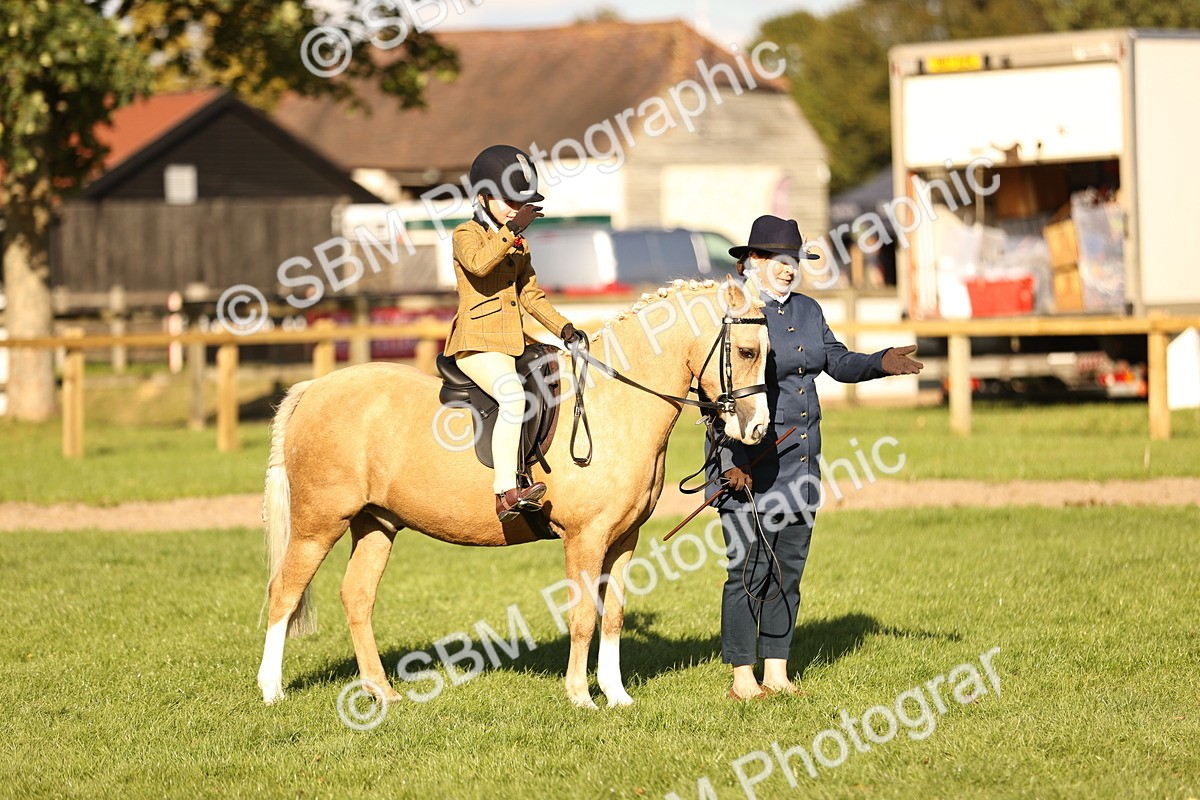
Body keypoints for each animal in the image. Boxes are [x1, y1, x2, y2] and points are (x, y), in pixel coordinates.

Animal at [256, 278, 770, 709]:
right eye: (746, 352)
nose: (758, 428)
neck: (613, 402)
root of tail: (314, 388)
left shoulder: (623, 539)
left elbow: (613, 615)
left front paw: (617, 696)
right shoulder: (585, 538)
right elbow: (582, 616)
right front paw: (581, 697)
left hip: (376, 523)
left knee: (357, 598)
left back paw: (382, 691)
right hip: (319, 524)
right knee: (284, 592)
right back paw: (272, 691)